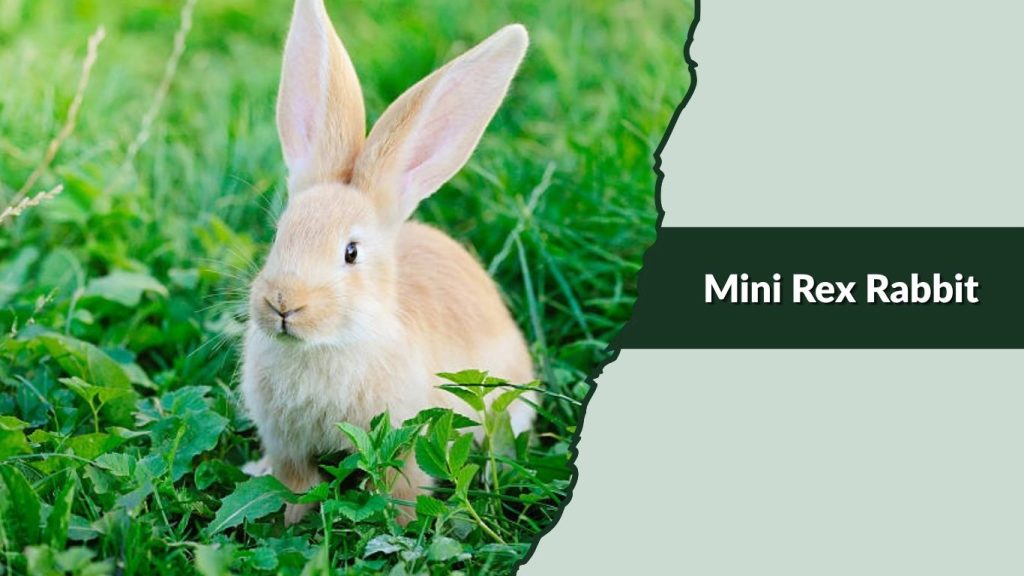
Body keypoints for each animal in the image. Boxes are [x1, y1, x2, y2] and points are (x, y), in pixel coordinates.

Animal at [240, 0, 537, 525]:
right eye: (279, 235)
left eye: (351, 252)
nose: (283, 304)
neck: (331, 343)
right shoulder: (287, 447)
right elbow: (295, 487)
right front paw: (291, 520)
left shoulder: (406, 443)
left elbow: (403, 489)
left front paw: (403, 525)